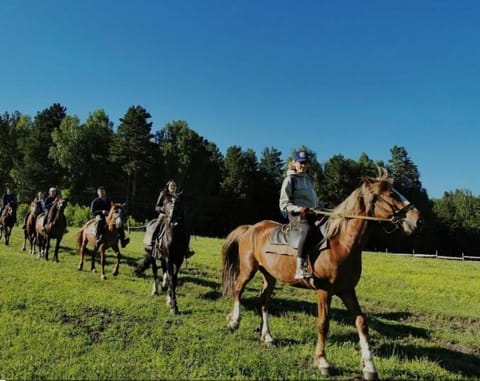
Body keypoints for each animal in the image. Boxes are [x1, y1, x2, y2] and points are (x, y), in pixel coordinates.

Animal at [221, 169, 420, 380]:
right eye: (390, 194)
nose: (417, 219)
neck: (340, 243)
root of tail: (251, 228)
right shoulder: (324, 291)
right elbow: (323, 324)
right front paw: (322, 361)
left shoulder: (347, 291)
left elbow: (361, 322)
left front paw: (369, 367)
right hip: (248, 269)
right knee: (238, 290)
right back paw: (234, 322)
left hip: (270, 277)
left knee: (263, 303)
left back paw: (267, 336)